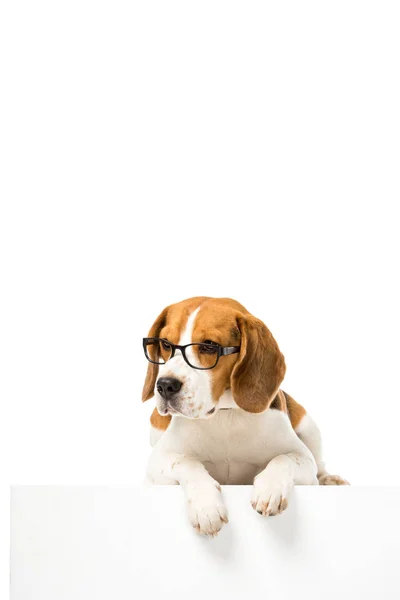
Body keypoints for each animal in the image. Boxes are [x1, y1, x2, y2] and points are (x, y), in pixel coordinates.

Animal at [142, 298, 348, 536]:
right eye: (166, 344)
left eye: (209, 345)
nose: (165, 385)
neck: (224, 415)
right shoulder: (158, 459)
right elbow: (187, 462)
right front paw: (206, 506)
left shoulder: (303, 458)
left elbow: (283, 458)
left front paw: (269, 489)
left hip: (308, 425)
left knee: (320, 465)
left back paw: (330, 480)